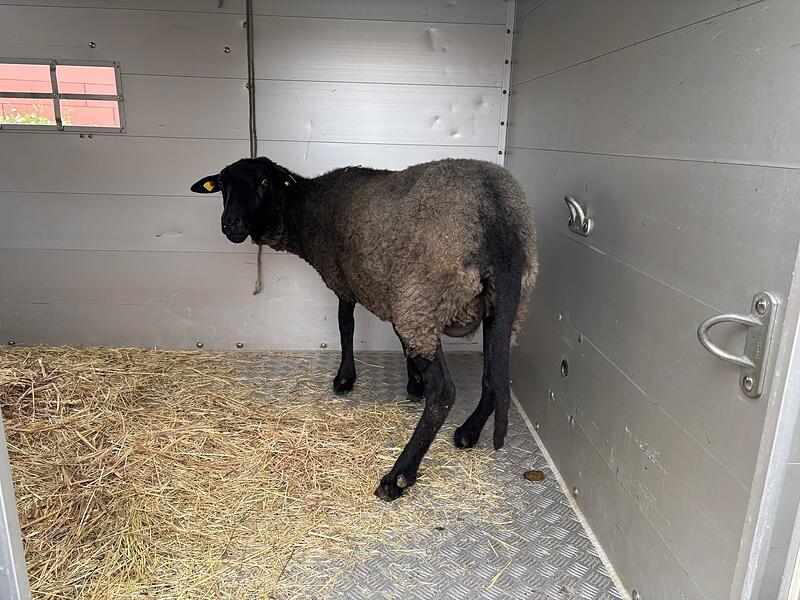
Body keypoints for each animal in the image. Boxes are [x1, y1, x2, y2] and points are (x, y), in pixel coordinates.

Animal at [191, 157, 537, 501]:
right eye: (222, 185)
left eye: (263, 182)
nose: (231, 224)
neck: (308, 207)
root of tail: (497, 218)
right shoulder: (392, 292)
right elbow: (400, 341)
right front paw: (414, 383)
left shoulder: (351, 283)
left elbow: (346, 326)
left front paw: (345, 379)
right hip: (501, 307)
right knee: (494, 374)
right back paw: (469, 431)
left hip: (425, 297)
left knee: (444, 392)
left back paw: (398, 476)